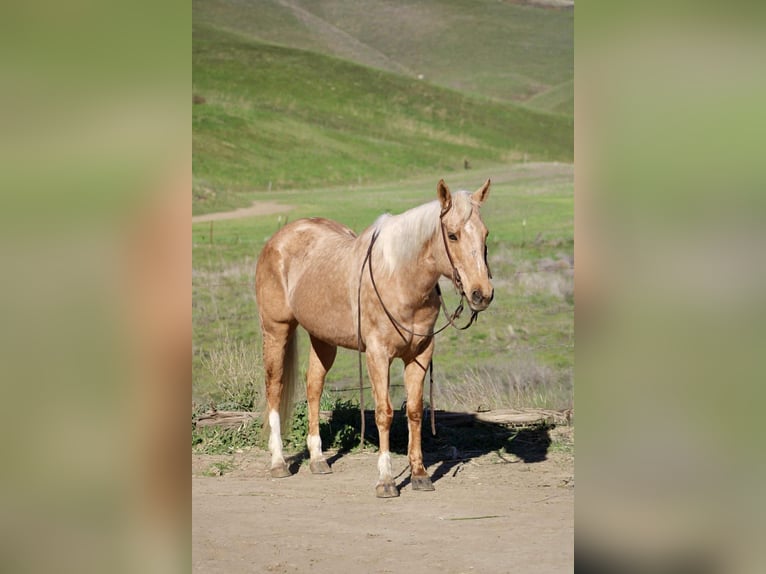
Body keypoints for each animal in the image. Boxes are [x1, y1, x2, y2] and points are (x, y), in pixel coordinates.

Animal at [254, 178, 493, 497]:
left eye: (485, 233)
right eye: (452, 235)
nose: (482, 294)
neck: (400, 278)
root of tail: (278, 239)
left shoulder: (420, 354)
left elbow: (414, 412)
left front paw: (419, 474)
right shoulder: (378, 355)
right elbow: (384, 413)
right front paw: (386, 480)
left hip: (323, 339)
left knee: (313, 386)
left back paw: (317, 459)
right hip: (276, 330)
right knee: (275, 386)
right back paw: (278, 462)